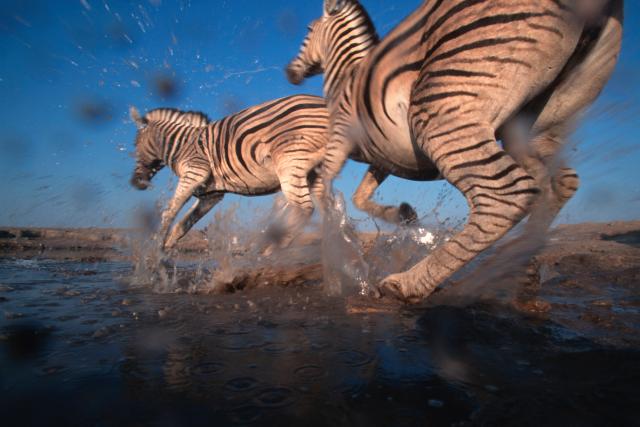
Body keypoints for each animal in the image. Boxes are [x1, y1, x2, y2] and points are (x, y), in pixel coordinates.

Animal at [129, 95, 332, 253]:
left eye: (135, 145)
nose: (135, 182)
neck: (181, 145)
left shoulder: (194, 172)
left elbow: (169, 212)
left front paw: (154, 251)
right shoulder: (210, 194)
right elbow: (184, 223)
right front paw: (166, 249)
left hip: (290, 162)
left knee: (304, 208)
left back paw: (271, 249)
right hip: (315, 172)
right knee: (325, 209)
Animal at [286, 0, 623, 301]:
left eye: (308, 30)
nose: (290, 72)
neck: (346, 75)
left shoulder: (342, 139)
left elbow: (323, 187)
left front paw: (335, 271)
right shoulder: (382, 157)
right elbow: (359, 196)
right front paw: (403, 214)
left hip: (442, 110)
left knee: (507, 195)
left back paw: (411, 284)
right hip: (537, 125)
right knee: (557, 183)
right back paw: (516, 267)